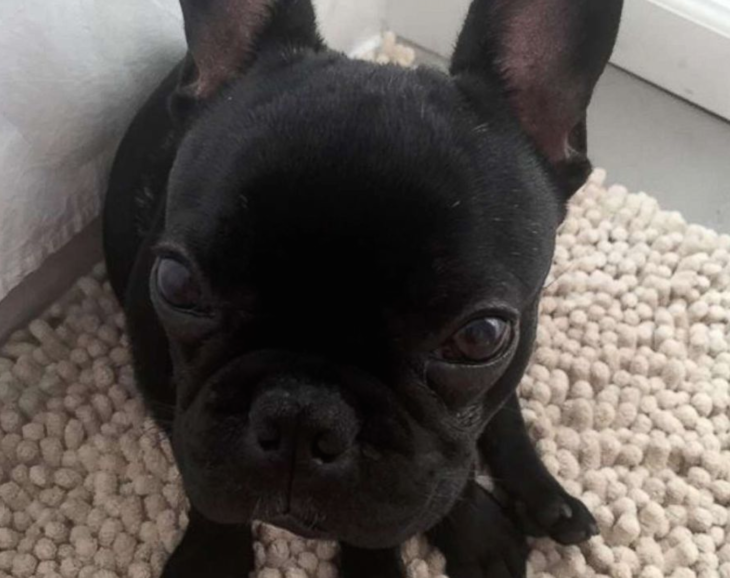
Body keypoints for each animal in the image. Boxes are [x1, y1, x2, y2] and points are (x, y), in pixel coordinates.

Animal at [102, 2, 620, 572]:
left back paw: (545, 500)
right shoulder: (167, 396)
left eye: (480, 337)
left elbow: (433, 484)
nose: (300, 416)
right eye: (177, 284)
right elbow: (204, 484)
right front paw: (209, 557)